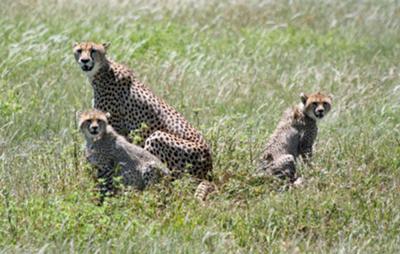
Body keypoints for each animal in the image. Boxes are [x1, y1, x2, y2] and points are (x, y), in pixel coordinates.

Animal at [74, 41, 214, 179]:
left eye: (93, 50)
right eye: (79, 50)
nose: (84, 60)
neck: (102, 70)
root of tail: (209, 168)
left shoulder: (112, 126)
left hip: (158, 137)